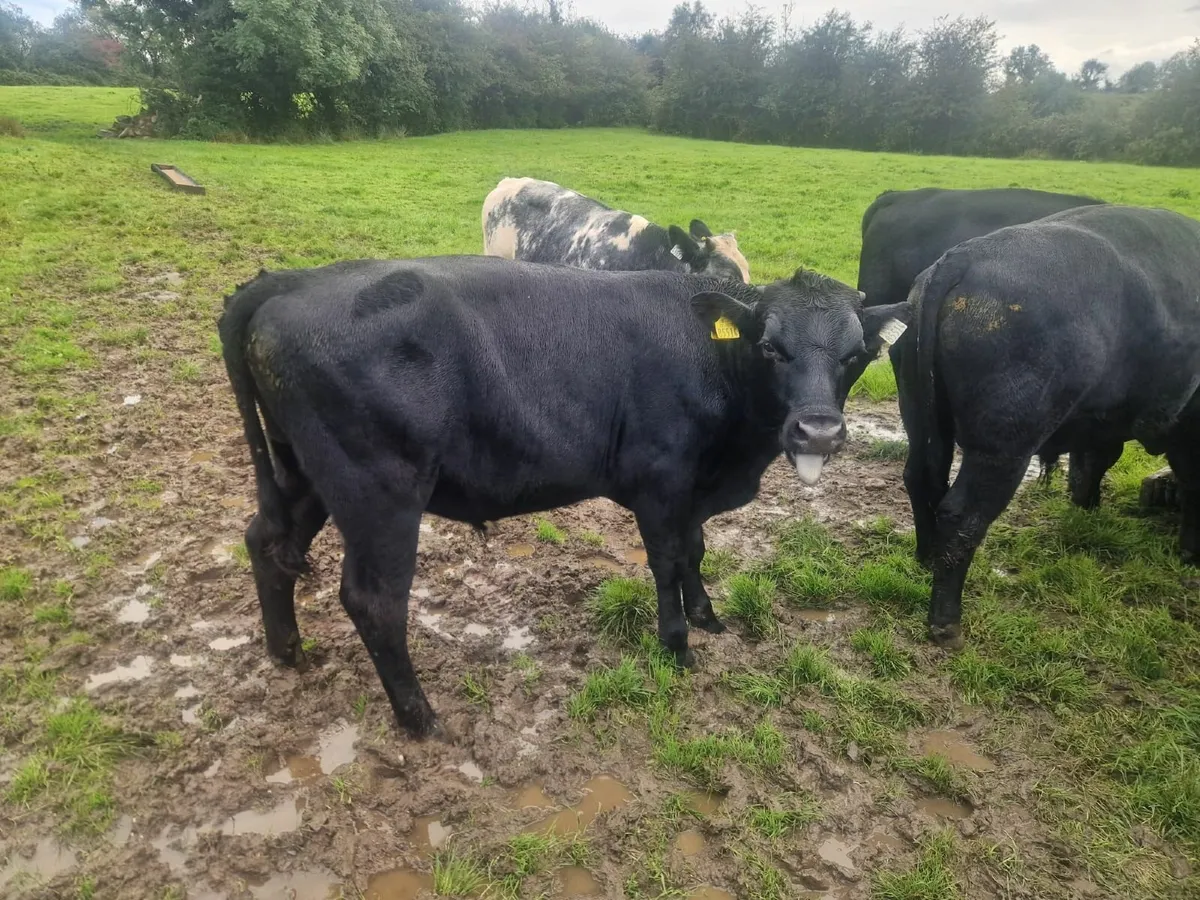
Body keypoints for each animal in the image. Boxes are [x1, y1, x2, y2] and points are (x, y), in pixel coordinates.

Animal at [219, 256, 910, 737]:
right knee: (373, 601)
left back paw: (287, 651)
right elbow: (666, 561)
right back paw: (421, 718)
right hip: (377, 492)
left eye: (856, 355)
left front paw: (708, 617)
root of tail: (290, 280)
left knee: (266, 541)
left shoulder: (692, 489)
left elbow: (695, 551)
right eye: (770, 347)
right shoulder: (659, 481)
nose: (817, 431)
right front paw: (676, 646)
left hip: (304, 472)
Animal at [898, 204, 1200, 651]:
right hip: (1003, 449)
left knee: (923, 481)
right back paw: (947, 627)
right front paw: (1191, 554)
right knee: (963, 514)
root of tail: (960, 258)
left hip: (923, 422)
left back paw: (925, 560)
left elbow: (1093, 464)